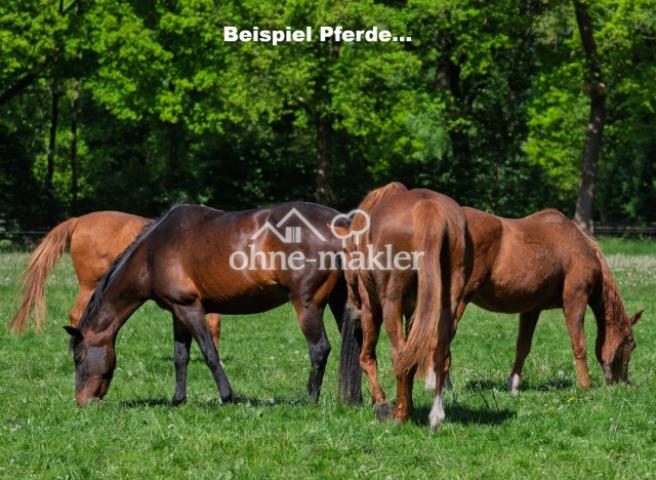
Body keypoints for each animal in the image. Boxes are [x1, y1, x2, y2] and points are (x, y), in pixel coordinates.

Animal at [64, 203, 362, 407]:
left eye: (78, 357)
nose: (82, 401)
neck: (152, 253)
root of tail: (339, 226)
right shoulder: (177, 312)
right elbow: (180, 356)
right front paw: (178, 399)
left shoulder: (191, 308)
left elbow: (209, 353)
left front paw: (227, 396)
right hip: (339, 300)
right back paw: (358, 399)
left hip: (307, 303)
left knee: (319, 349)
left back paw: (308, 400)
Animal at [335, 182, 471, 430]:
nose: (352, 312)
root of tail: (429, 209)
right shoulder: (413, 312)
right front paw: (409, 405)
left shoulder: (371, 308)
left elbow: (366, 357)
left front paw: (381, 402)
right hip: (448, 307)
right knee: (440, 355)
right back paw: (434, 416)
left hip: (389, 307)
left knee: (399, 355)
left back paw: (399, 416)